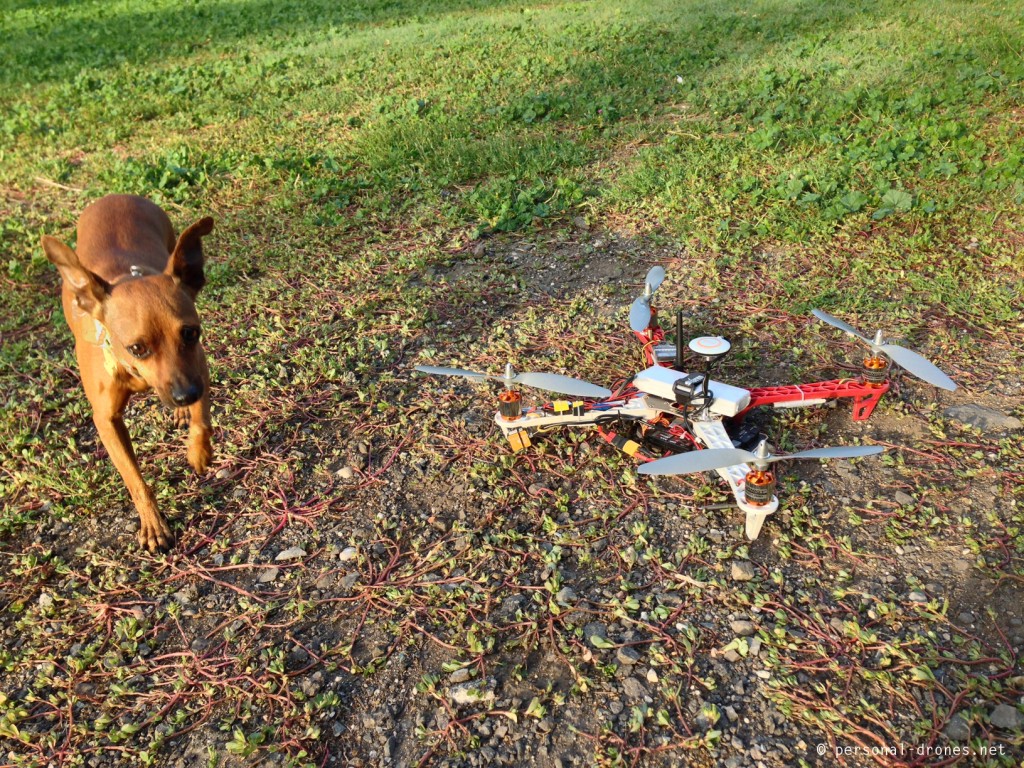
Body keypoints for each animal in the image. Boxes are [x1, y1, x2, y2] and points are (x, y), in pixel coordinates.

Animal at [41, 195, 214, 548]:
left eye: (190, 333)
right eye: (137, 348)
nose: (185, 395)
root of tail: (114, 197)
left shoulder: (198, 368)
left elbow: (202, 421)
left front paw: (198, 451)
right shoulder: (106, 420)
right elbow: (134, 479)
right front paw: (153, 524)